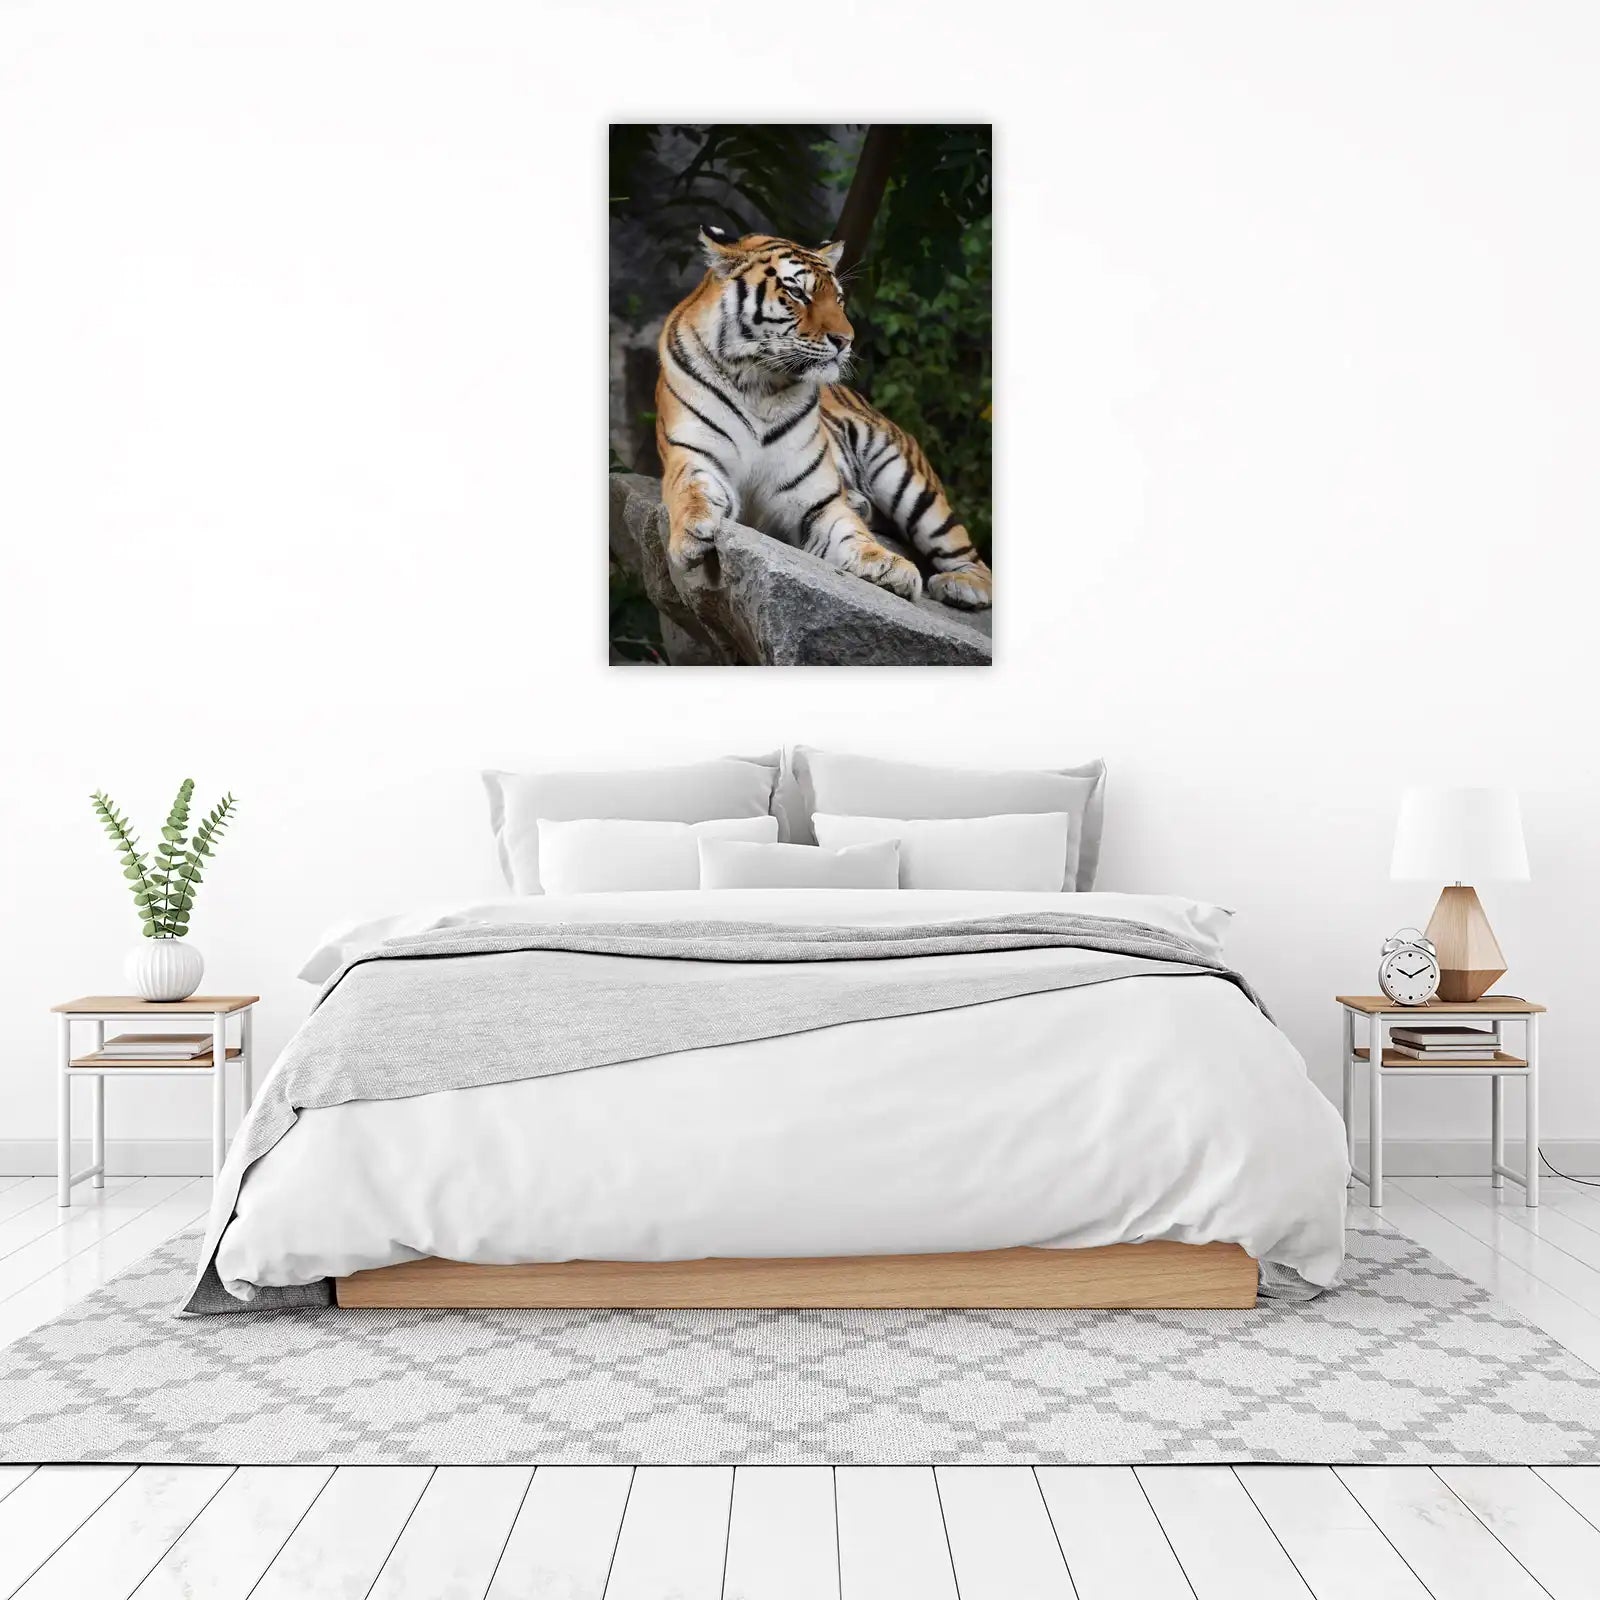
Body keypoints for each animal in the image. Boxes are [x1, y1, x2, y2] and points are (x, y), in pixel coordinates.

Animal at [654, 225, 992, 611]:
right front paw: (693, 532)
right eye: (797, 293)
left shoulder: (814, 499)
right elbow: (692, 491)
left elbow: (849, 533)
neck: (758, 383)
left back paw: (963, 585)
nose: (846, 340)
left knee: (971, 556)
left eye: (839, 299)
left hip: (908, 480)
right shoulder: (694, 456)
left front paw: (890, 566)